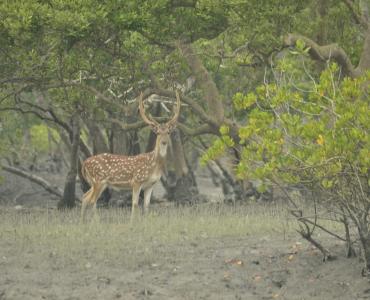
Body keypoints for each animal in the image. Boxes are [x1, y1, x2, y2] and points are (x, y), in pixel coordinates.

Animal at [80, 92, 181, 221]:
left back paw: (83, 221)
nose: (164, 142)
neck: (154, 164)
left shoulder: (151, 185)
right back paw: (96, 222)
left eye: (168, 132)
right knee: (92, 200)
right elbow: (135, 204)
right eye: (158, 132)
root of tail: (84, 163)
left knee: (85, 197)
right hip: (99, 180)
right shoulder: (136, 180)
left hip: (96, 183)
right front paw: (132, 223)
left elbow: (146, 206)